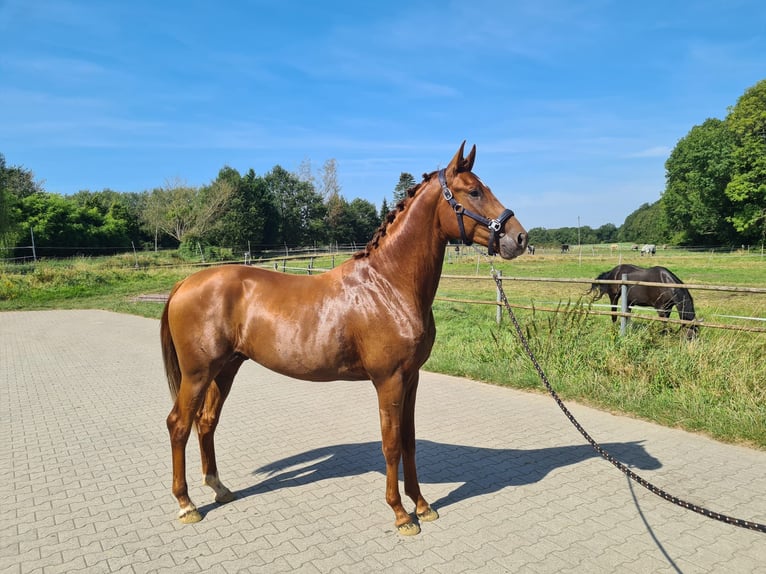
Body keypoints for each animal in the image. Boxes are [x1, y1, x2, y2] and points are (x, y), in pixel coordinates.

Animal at [160, 142, 528, 535]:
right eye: (473, 191)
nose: (520, 238)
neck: (388, 285)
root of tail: (185, 283)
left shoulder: (411, 378)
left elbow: (410, 442)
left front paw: (422, 505)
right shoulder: (388, 380)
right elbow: (391, 445)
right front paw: (401, 514)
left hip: (225, 369)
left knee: (206, 422)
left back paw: (219, 488)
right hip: (198, 374)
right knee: (179, 425)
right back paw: (186, 504)